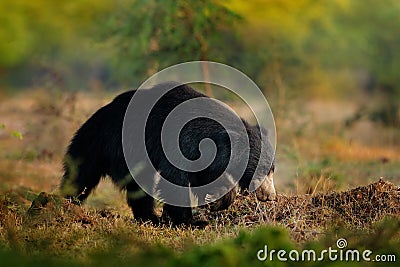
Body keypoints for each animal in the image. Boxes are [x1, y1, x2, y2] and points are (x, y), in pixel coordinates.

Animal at [61, 83, 276, 226]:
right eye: (262, 171)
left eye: (272, 170)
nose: (270, 197)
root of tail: (100, 113)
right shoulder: (178, 143)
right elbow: (175, 180)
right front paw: (191, 221)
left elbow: (203, 178)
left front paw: (216, 201)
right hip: (111, 144)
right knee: (83, 175)